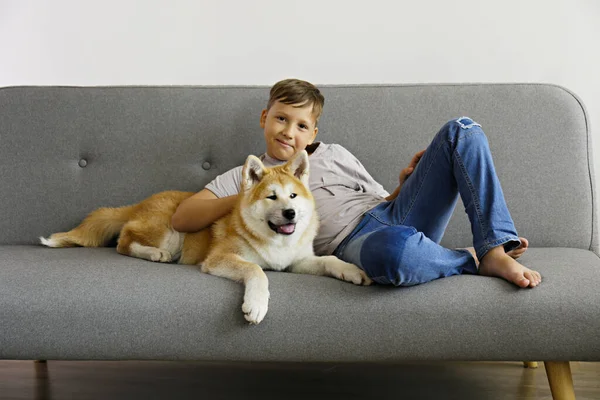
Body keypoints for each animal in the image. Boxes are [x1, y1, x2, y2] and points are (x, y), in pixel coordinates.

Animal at [41, 152, 370, 324]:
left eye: (292, 196)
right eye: (271, 196)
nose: (289, 213)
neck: (275, 242)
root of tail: (142, 202)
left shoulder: (296, 261)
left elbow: (328, 259)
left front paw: (351, 270)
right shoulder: (220, 258)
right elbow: (257, 271)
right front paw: (256, 304)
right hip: (170, 232)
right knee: (124, 241)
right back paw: (153, 254)